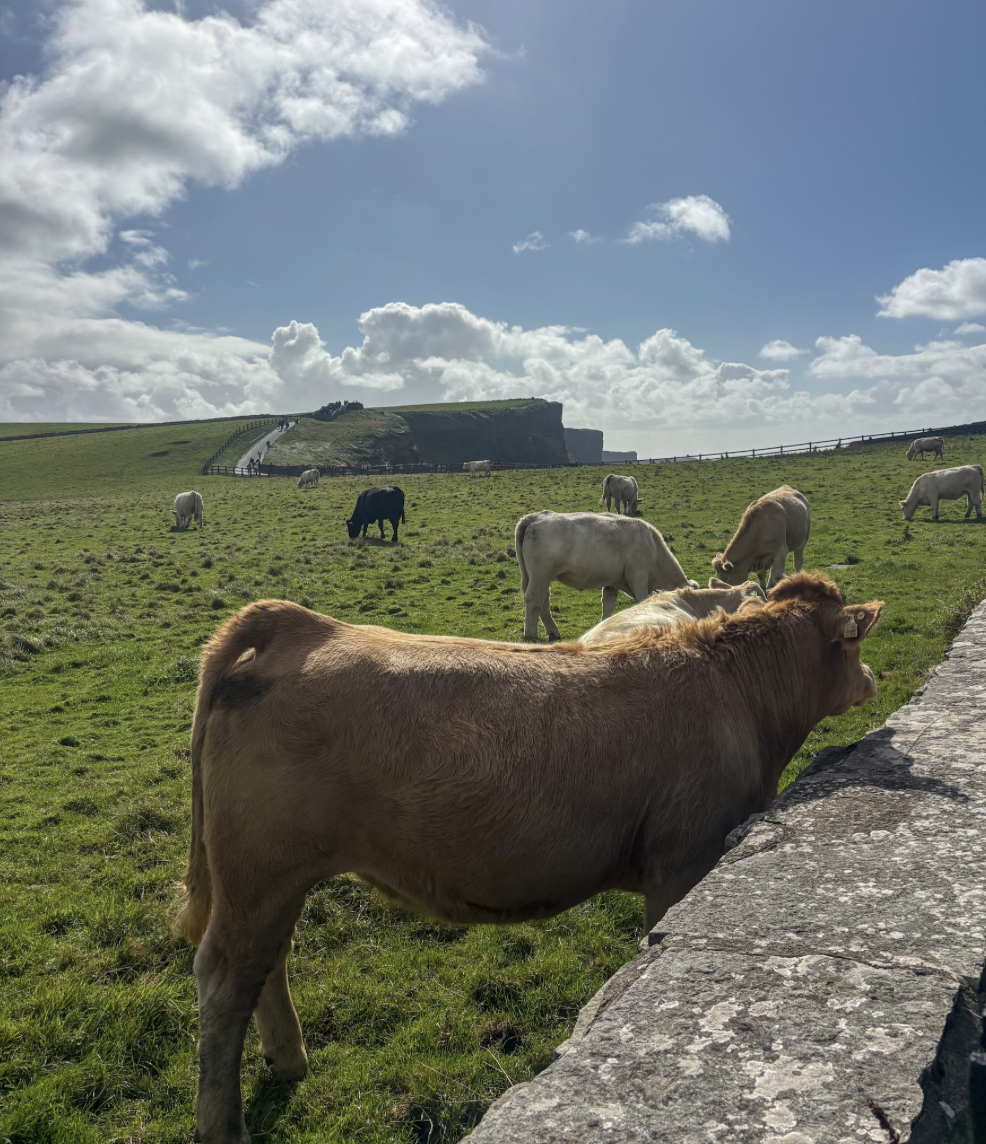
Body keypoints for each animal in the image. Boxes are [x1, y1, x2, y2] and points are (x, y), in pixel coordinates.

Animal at [515, 511, 697, 641]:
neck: (653, 547)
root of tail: (535, 517)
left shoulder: (613, 581)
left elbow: (608, 603)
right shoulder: (638, 576)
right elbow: (641, 600)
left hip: (541, 577)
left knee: (543, 601)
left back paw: (553, 632)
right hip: (541, 575)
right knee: (534, 599)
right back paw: (530, 634)